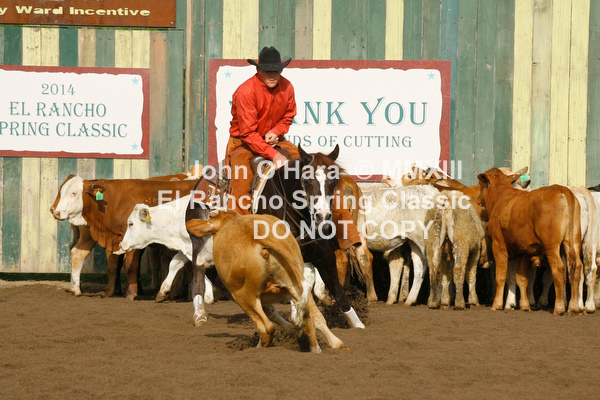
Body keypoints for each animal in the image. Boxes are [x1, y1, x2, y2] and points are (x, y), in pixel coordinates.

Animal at [50, 174, 208, 299]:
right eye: (61, 192)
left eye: (74, 193)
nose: (55, 211)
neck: (115, 200)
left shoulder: (134, 241)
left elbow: (131, 266)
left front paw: (131, 294)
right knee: (78, 254)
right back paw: (77, 289)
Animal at [185, 209, 346, 352]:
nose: (199, 259)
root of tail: (258, 237)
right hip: (295, 285)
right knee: (312, 320)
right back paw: (322, 347)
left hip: (243, 296)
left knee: (267, 327)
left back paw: (260, 346)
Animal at [478, 168, 583, 316]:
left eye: (481, 185)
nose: (478, 199)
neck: (502, 197)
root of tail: (562, 190)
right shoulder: (523, 251)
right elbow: (521, 278)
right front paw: (525, 305)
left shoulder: (498, 245)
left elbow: (501, 276)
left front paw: (497, 304)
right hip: (572, 241)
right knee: (576, 267)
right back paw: (573, 307)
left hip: (552, 246)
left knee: (559, 269)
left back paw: (559, 308)